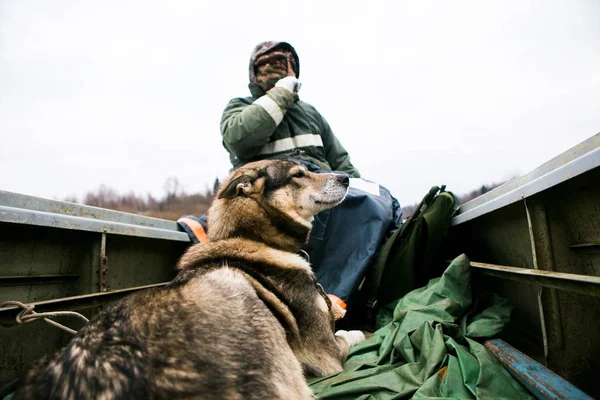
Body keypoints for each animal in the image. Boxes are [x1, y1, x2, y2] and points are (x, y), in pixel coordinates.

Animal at [15, 160, 366, 400]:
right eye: (298, 174)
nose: (346, 177)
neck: (254, 238)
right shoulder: (325, 353)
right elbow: (349, 334)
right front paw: (361, 332)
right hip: (235, 291)